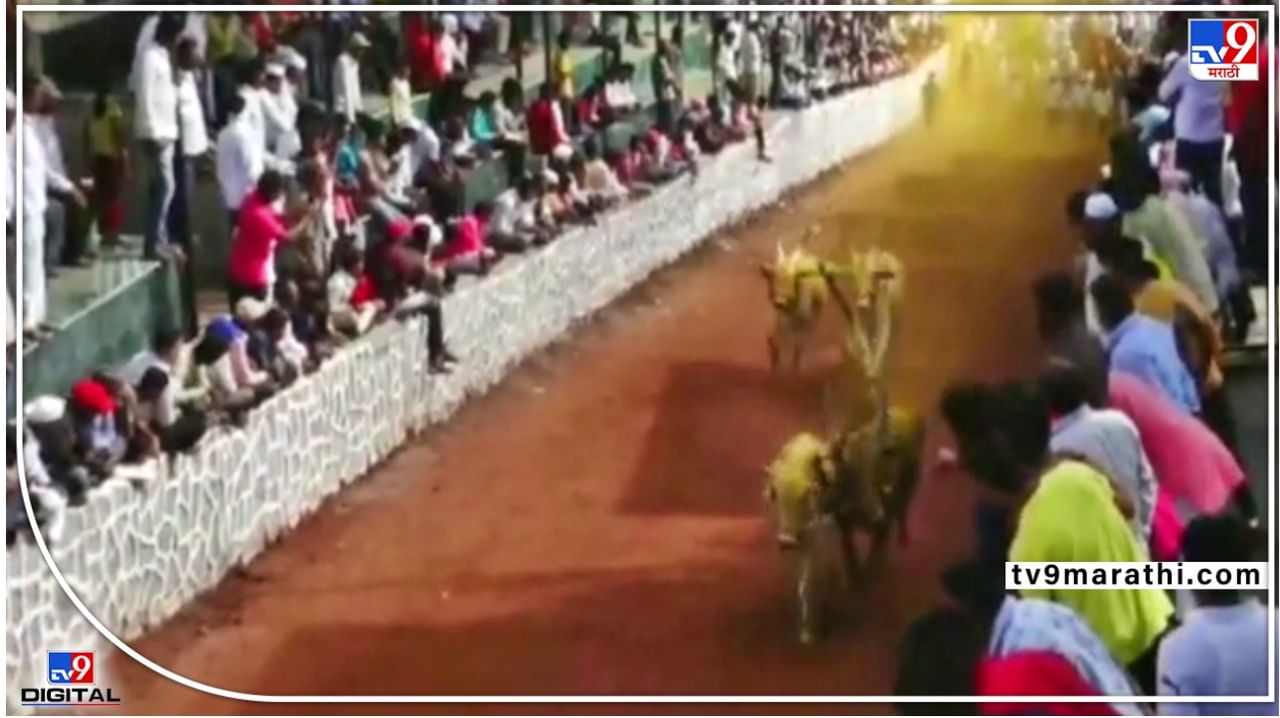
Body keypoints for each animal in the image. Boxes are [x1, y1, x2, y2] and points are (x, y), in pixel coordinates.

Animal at [762, 409, 926, 645]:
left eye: (809, 491)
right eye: (776, 491)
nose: (787, 540)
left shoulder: (874, 521)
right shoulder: (829, 530)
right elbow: (815, 577)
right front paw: (808, 632)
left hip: (910, 482)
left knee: (902, 511)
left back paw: (901, 542)